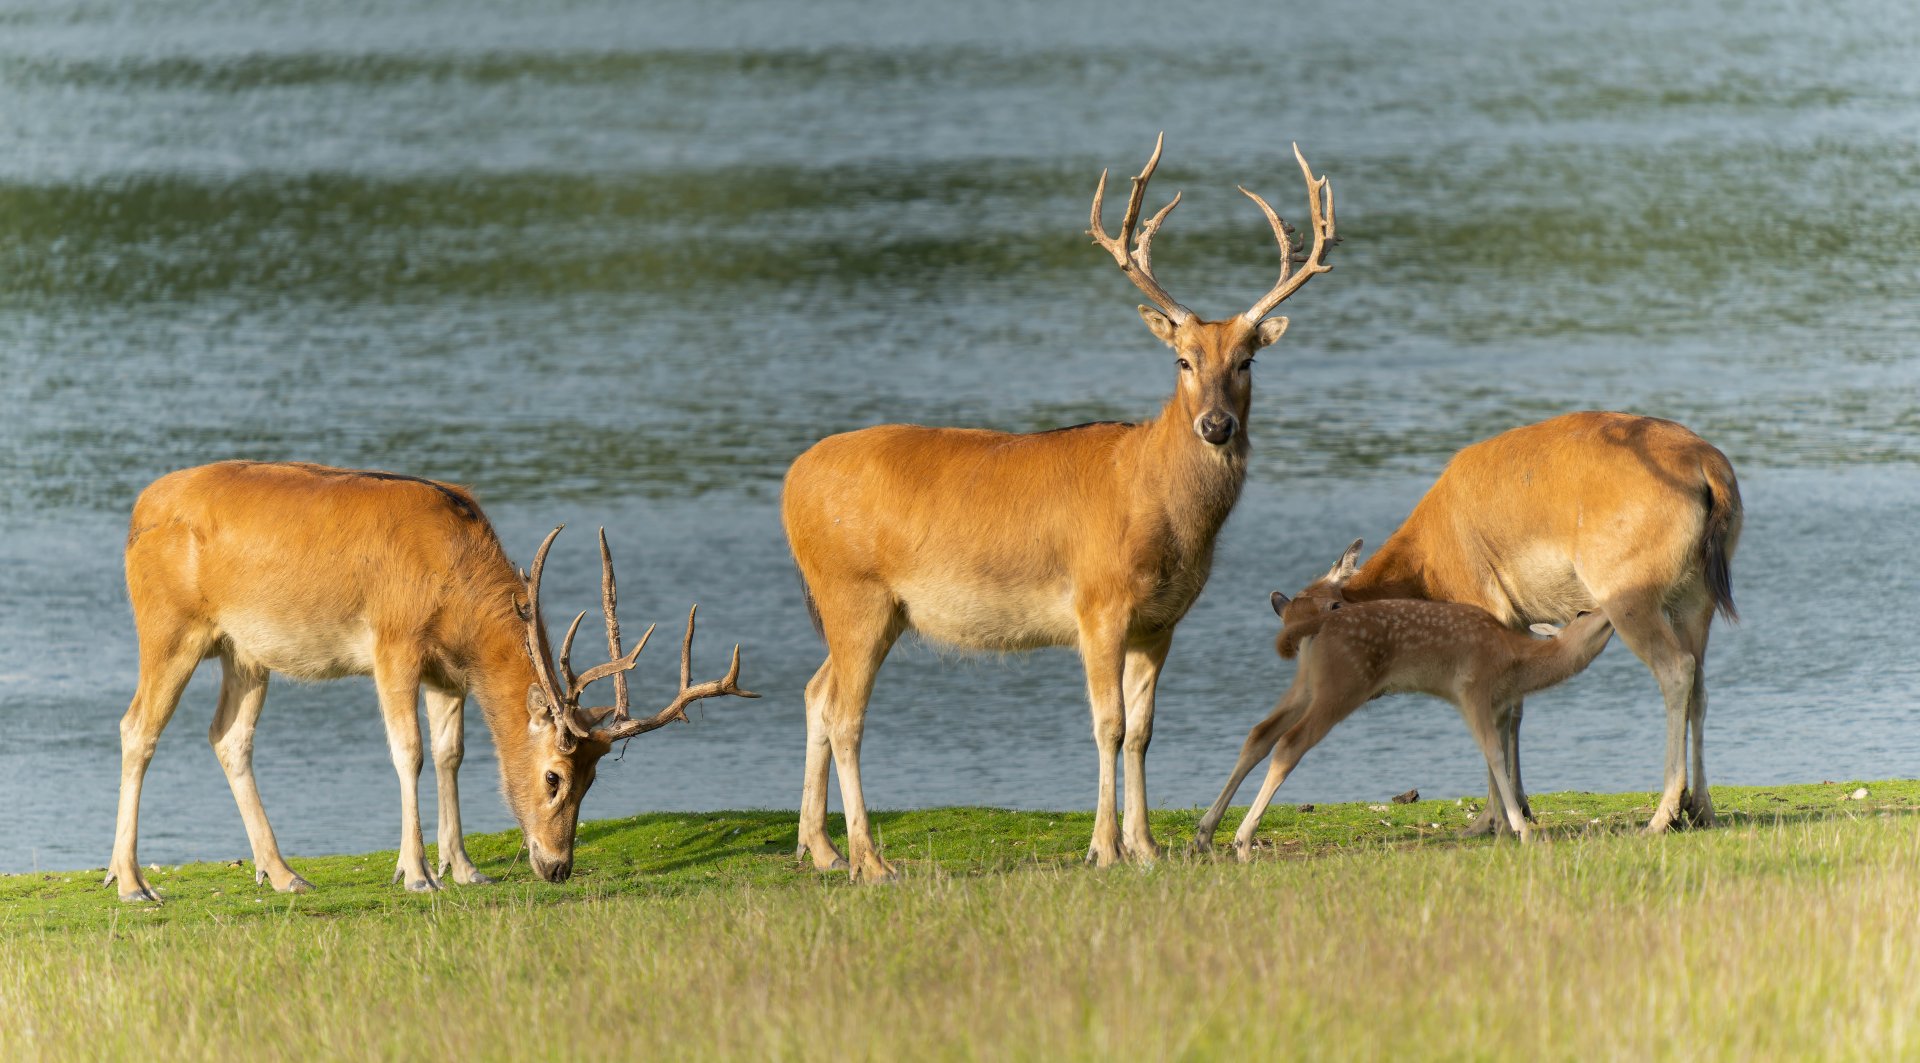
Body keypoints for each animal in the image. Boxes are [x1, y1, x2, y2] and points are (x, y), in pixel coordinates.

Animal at [107, 460, 756, 903]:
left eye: (594, 779)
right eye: (554, 776)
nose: (556, 866)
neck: (455, 589)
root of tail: (137, 512)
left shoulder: (450, 673)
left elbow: (452, 754)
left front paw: (464, 867)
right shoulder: (394, 644)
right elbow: (410, 751)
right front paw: (416, 874)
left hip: (245, 652)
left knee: (228, 738)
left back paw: (285, 874)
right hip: (168, 628)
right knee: (137, 727)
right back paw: (130, 882)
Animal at [781, 135, 1338, 881]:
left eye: (1247, 360)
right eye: (1183, 360)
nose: (1216, 425)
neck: (1157, 501)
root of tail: (790, 483)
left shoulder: (1160, 621)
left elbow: (1144, 729)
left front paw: (1146, 844)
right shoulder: (1098, 600)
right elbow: (1109, 723)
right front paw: (1104, 847)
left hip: (871, 607)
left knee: (816, 694)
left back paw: (822, 849)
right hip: (853, 592)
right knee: (846, 715)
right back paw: (871, 860)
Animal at [1192, 578, 1616, 857]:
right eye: (1582, 611)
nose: (1610, 609)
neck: (1517, 664)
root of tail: (1316, 625)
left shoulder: (1498, 706)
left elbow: (1495, 758)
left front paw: (1501, 829)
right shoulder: (1471, 689)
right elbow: (1494, 756)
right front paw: (1521, 830)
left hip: (1307, 683)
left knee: (1259, 733)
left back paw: (1205, 832)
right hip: (1343, 684)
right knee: (1289, 743)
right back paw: (1242, 841)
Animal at [1281, 412, 1741, 835]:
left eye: (1333, 610)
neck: (1426, 561)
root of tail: (1707, 464)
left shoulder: (1484, 612)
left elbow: (1496, 715)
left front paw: (1491, 820)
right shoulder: (1519, 622)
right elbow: (1516, 708)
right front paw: (1519, 807)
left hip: (1630, 599)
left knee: (1676, 671)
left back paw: (1662, 815)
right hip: (1695, 603)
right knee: (1700, 686)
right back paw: (1702, 809)